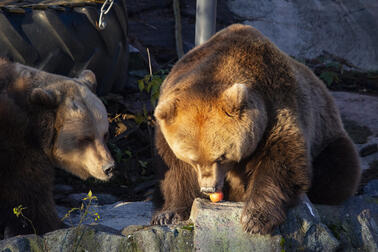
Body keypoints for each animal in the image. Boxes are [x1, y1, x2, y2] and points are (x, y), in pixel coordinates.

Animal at [150, 24, 360, 234]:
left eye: (222, 157)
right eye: (193, 160)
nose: (209, 188)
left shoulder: (275, 105)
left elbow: (281, 158)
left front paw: (255, 218)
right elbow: (175, 171)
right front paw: (167, 214)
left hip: (327, 134)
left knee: (338, 168)